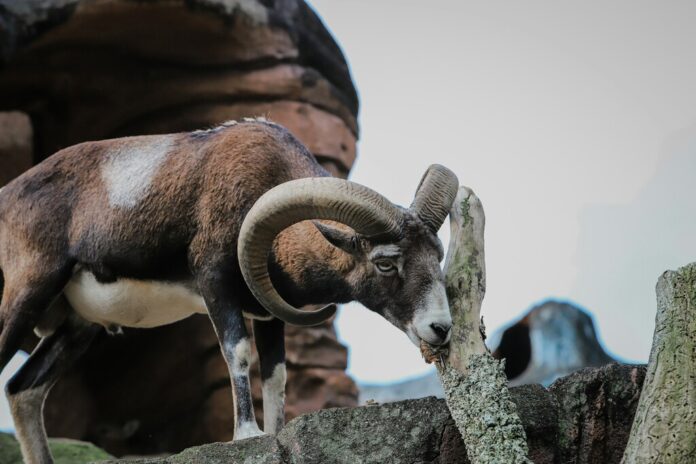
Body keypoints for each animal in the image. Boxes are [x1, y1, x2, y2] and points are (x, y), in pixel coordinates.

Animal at [0, 119, 458, 464]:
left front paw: (273, 432)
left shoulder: (271, 315)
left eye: (437, 255)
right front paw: (247, 434)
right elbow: (237, 352)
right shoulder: (215, 286)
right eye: (385, 263)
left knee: (23, 390)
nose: (440, 329)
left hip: (77, 328)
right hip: (27, 294)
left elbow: (275, 375)